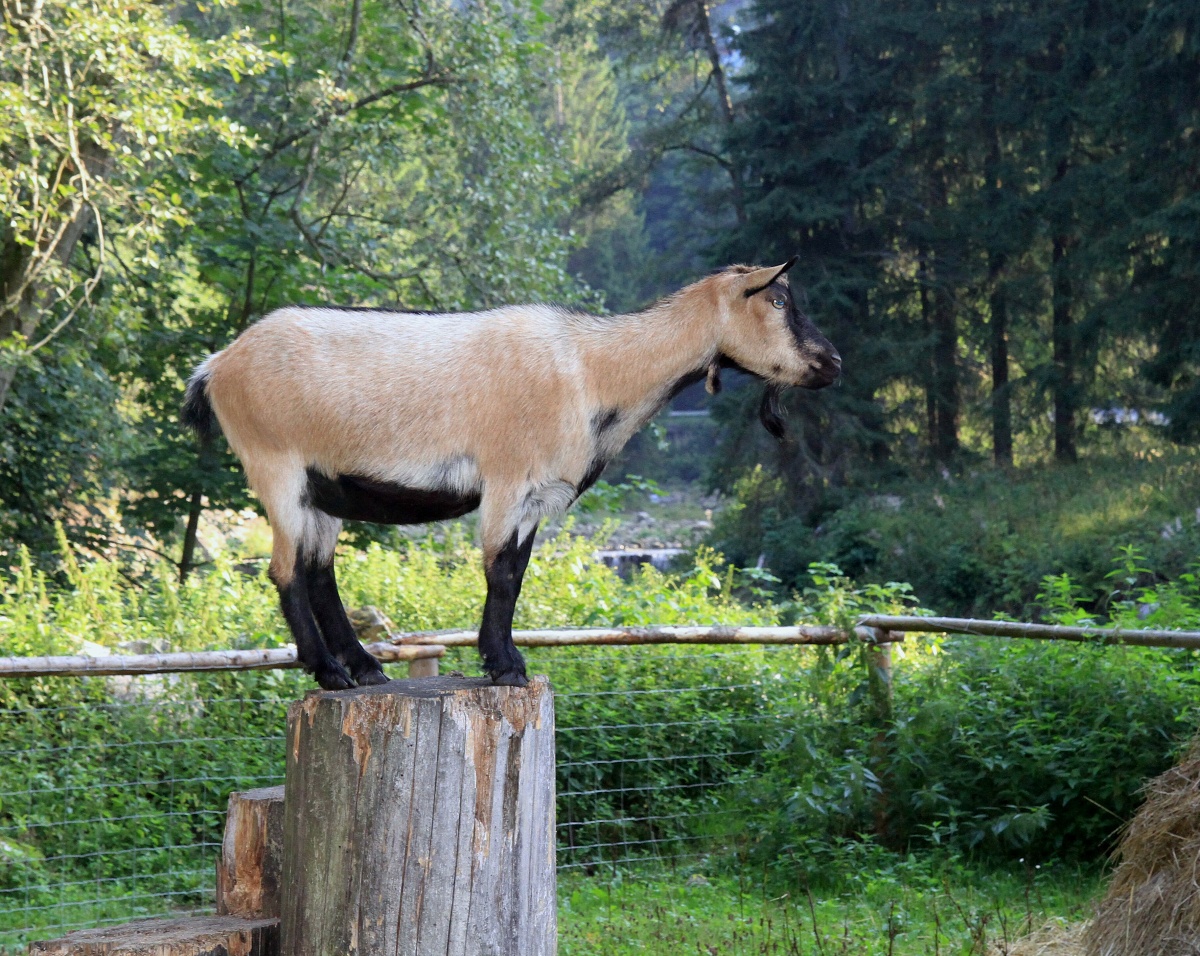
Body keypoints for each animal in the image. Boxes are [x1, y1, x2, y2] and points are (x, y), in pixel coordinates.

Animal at [182, 257, 840, 690]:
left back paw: (365, 669)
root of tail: (217, 365)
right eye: (778, 301)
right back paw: (329, 674)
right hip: (275, 465)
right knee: (286, 572)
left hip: (322, 487)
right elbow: (498, 572)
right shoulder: (507, 479)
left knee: (318, 570)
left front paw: (507, 659)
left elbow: (516, 576)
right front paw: (505, 669)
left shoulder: (539, 497)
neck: (593, 369)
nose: (833, 362)